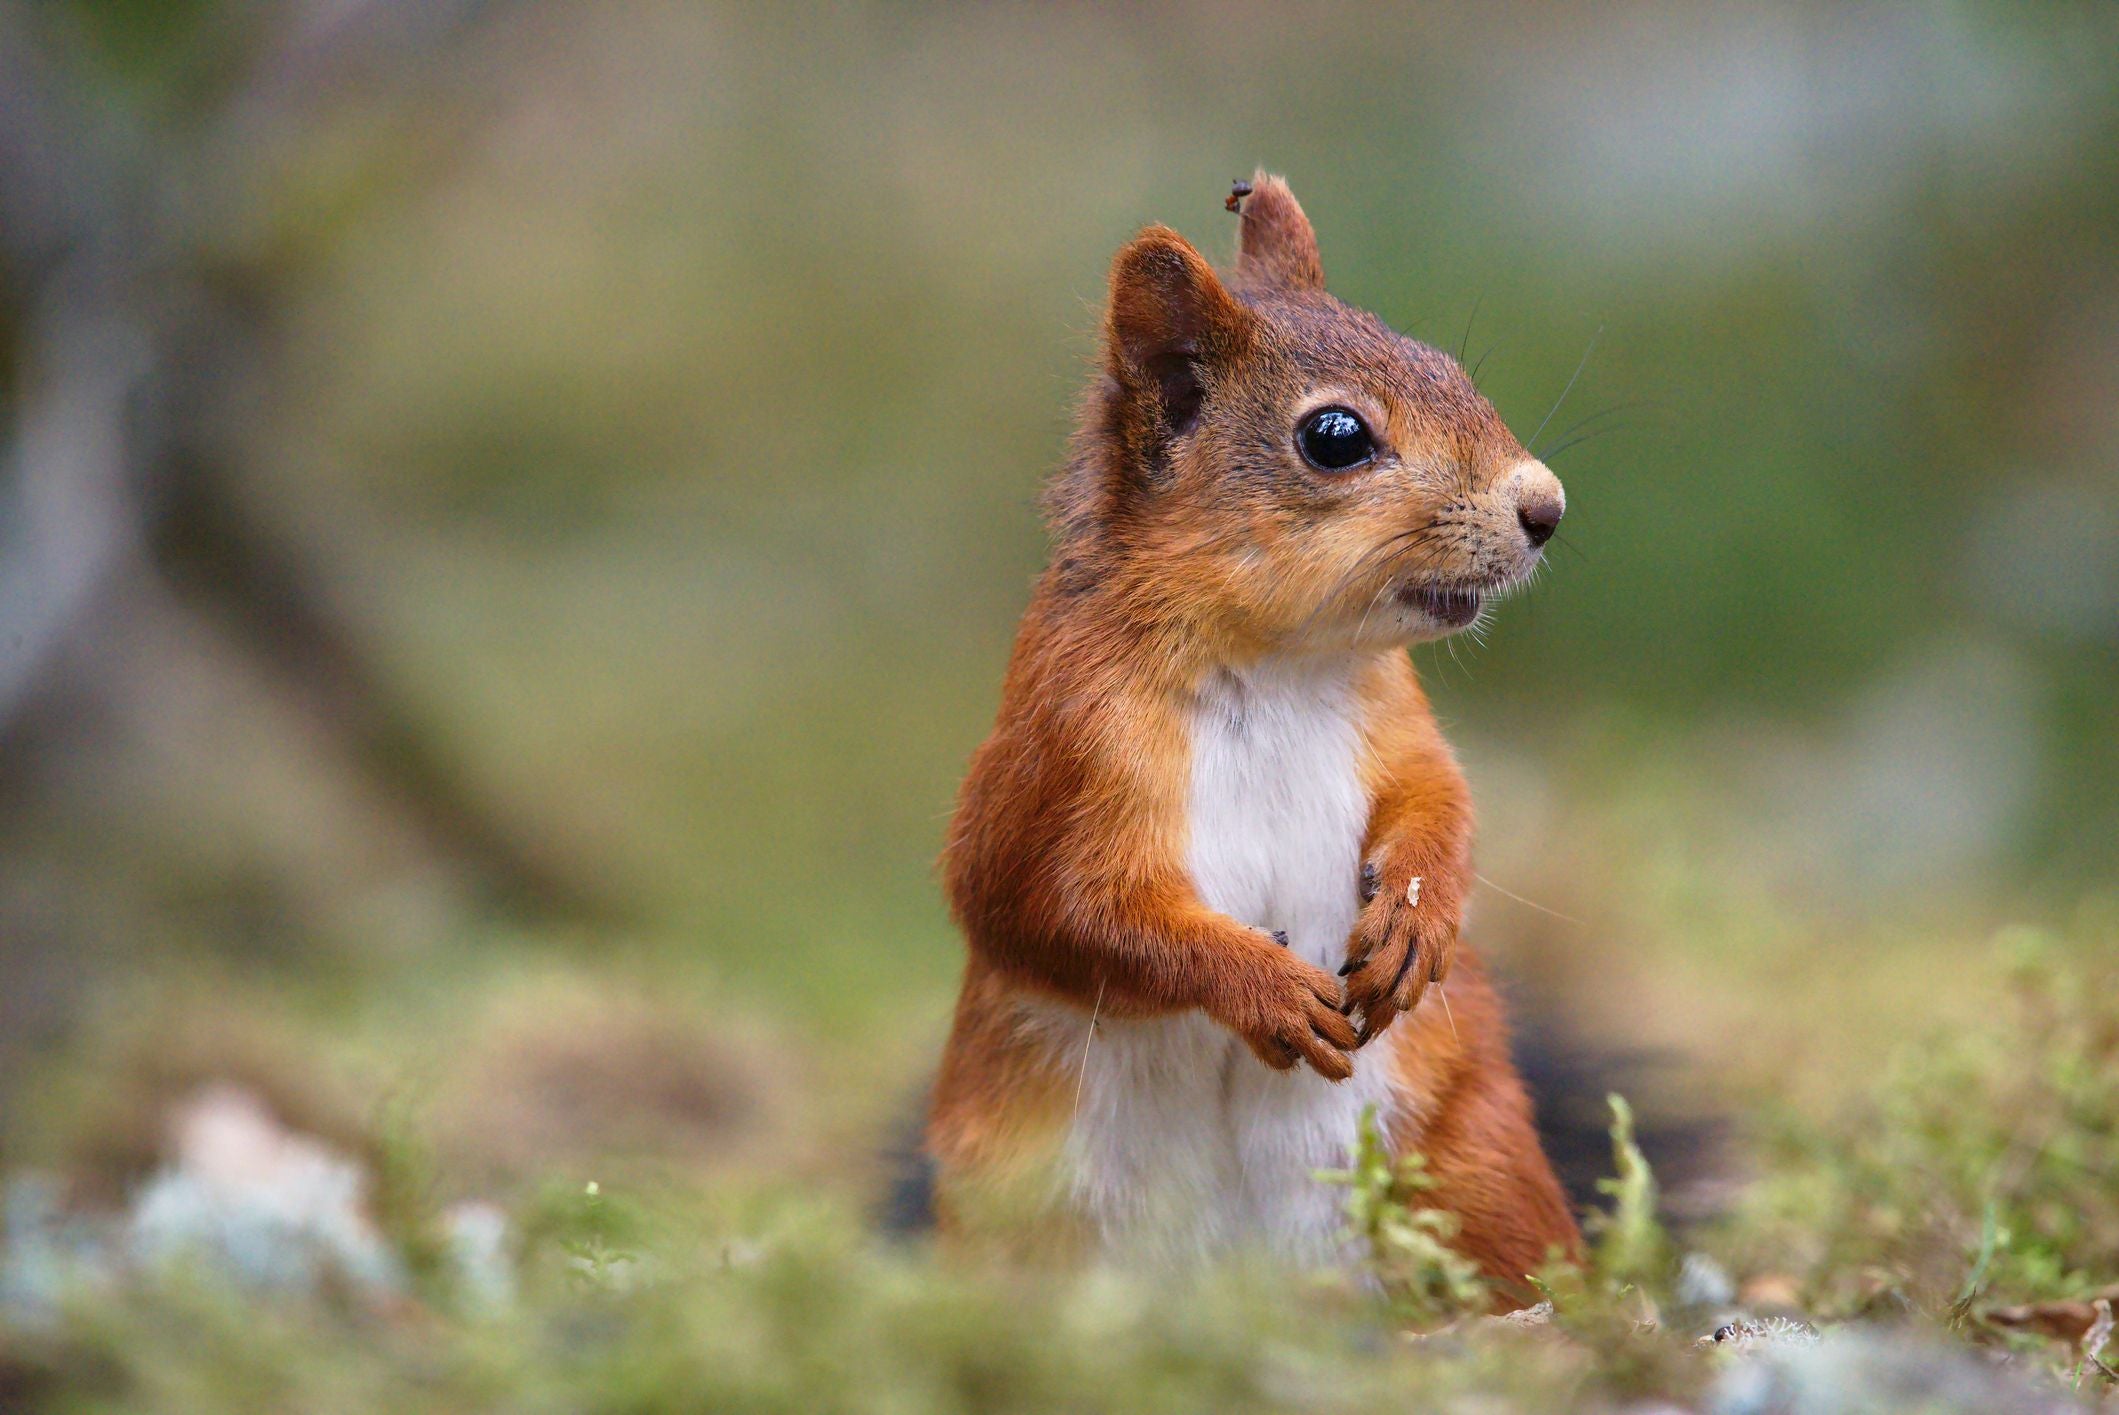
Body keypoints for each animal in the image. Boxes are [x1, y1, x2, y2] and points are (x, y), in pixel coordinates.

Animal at [924, 173, 1581, 1293]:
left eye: (1450, 366)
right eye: (1335, 437)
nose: (1546, 506)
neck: (1276, 666)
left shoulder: (1396, 722)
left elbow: (1440, 803)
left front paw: (1416, 919)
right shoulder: (1056, 757)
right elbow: (1062, 911)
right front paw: (1260, 987)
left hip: (1476, 1166)